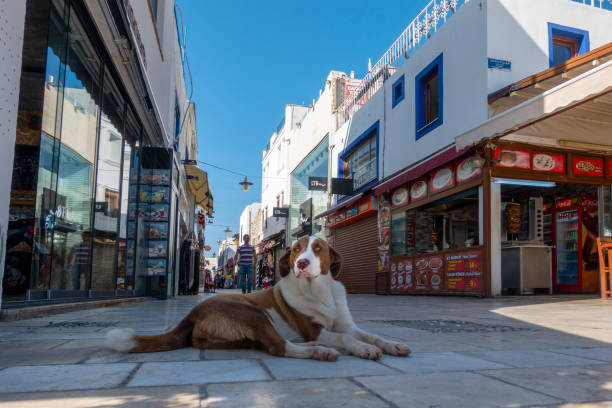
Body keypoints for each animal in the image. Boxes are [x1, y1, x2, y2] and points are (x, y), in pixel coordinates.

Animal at [106, 236, 412, 360]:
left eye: (318, 249)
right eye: (296, 249)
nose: (301, 263)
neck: (320, 289)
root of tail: (191, 314)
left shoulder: (346, 324)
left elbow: (371, 334)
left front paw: (392, 344)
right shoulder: (313, 329)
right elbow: (347, 339)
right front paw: (363, 349)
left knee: (267, 344)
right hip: (253, 312)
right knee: (278, 346)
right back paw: (318, 351)